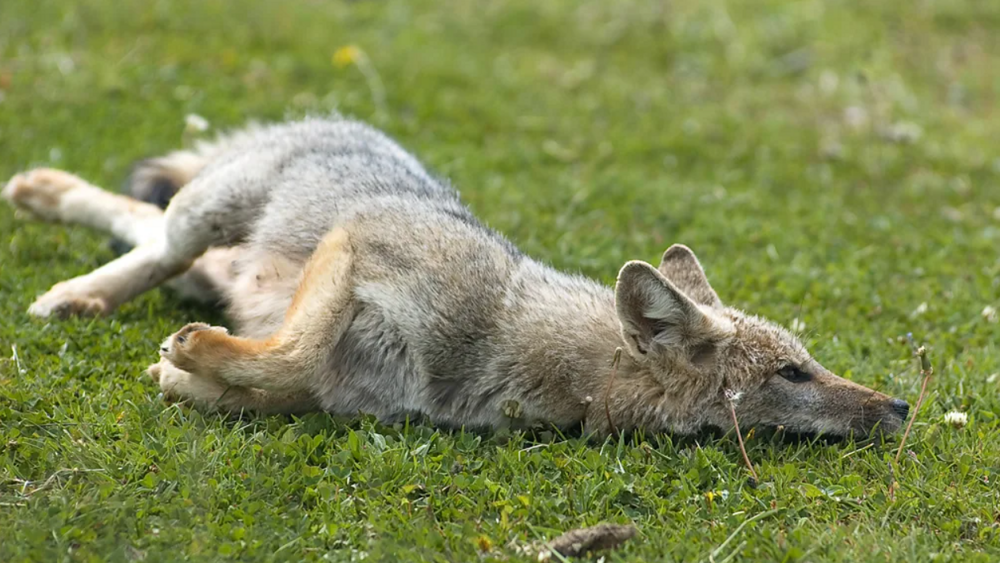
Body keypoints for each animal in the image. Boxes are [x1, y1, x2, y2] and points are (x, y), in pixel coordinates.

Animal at [0, 117, 912, 438]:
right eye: (794, 372)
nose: (903, 406)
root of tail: (346, 121)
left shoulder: (348, 392)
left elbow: (283, 379)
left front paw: (191, 377)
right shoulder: (361, 242)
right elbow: (293, 353)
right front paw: (193, 358)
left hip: (215, 261)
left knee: (138, 221)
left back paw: (53, 213)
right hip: (211, 218)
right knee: (156, 240)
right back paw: (72, 285)